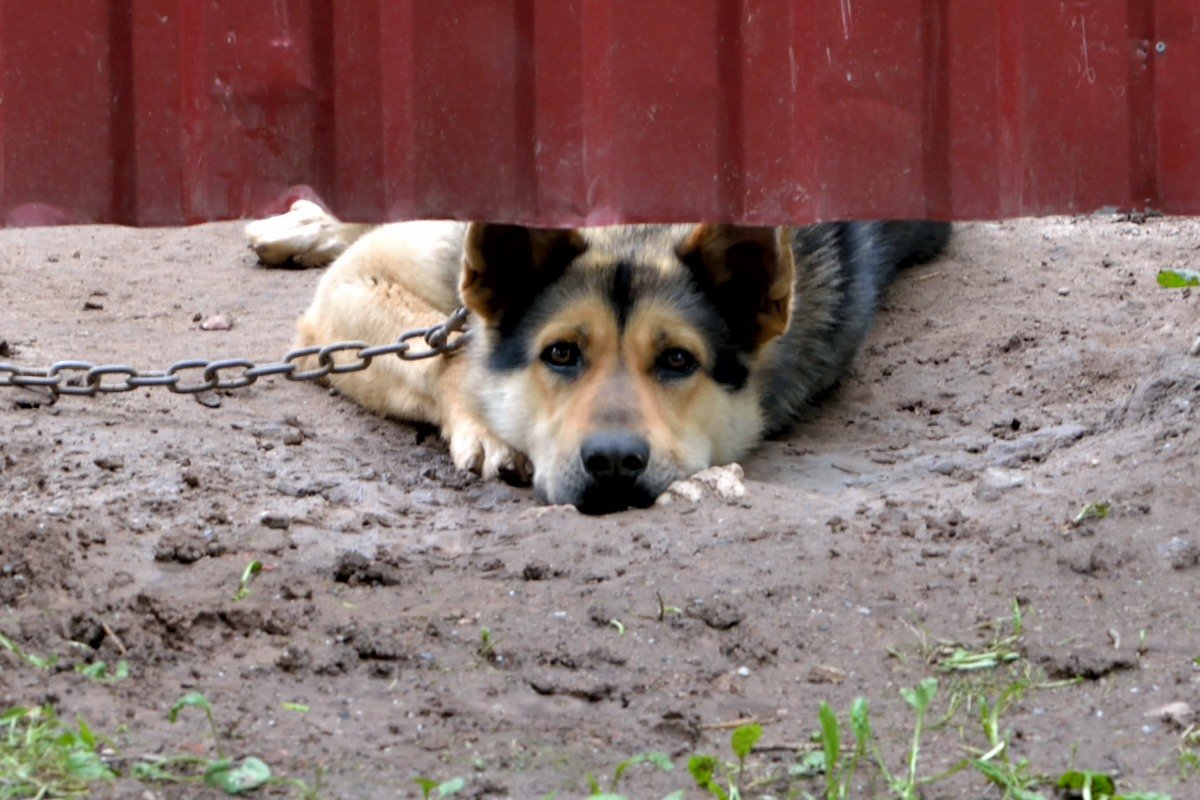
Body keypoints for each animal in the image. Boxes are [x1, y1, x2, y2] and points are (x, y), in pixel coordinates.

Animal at [248, 200, 950, 513]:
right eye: (560, 353)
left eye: (677, 362)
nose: (614, 463)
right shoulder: (355, 285)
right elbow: (450, 353)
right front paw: (487, 426)